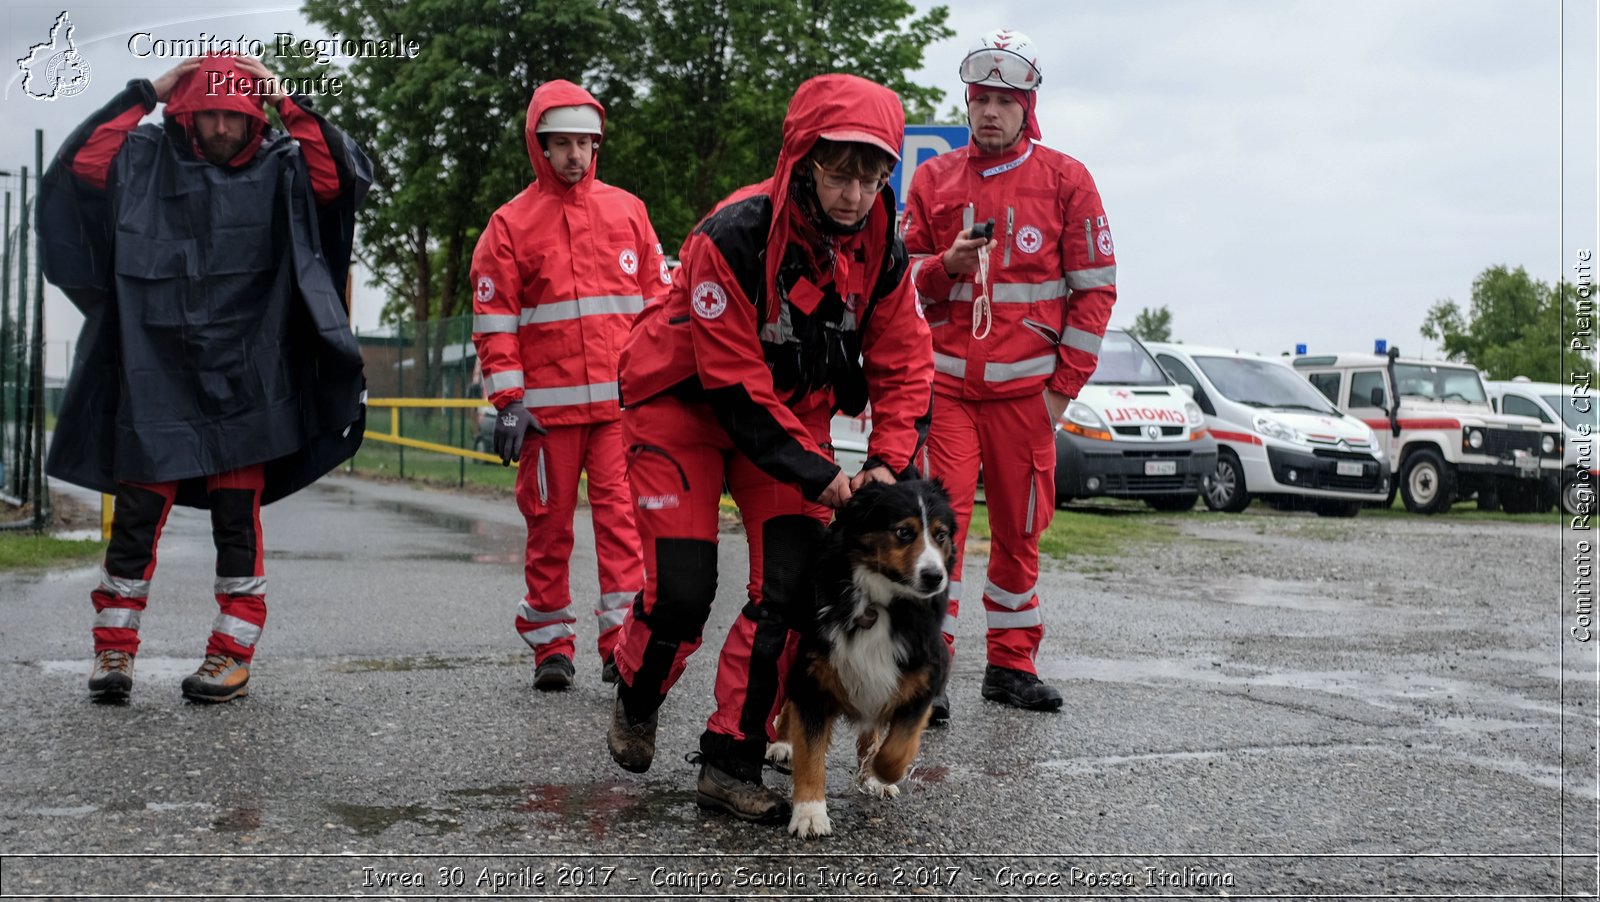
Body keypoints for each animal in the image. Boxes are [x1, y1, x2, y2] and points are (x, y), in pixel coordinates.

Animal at [771, 479, 953, 838]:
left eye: (940, 535)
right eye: (903, 532)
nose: (934, 577)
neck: (878, 603)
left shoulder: (927, 674)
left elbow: (895, 747)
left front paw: (879, 772)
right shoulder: (813, 676)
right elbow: (810, 753)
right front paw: (810, 813)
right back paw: (782, 741)